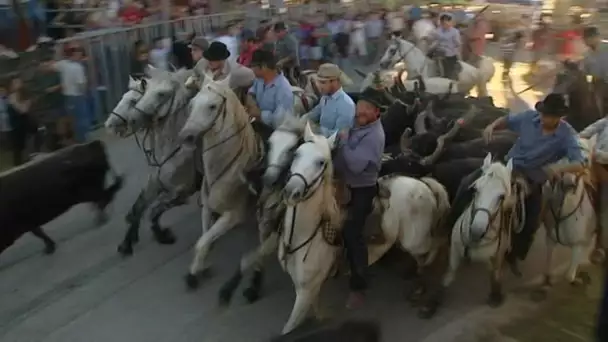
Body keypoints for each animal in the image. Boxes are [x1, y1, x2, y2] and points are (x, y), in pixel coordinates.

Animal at [105, 69, 198, 255]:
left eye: (133, 101)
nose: (108, 125)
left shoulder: (181, 192)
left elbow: (153, 212)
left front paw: (163, 235)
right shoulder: (155, 183)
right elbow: (139, 206)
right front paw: (127, 242)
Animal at [176, 72, 262, 288]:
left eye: (212, 106)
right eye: (192, 103)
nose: (186, 136)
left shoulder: (233, 214)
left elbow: (202, 242)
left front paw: (195, 273)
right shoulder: (207, 209)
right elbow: (205, 238)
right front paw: (199, 267)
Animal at [280, 123, 446, 334]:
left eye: (321, 162)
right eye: (297, 154)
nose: (291, 191)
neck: (306, 233)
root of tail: (423, 183)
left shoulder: (304, 293)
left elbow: (289, 328)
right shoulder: (310, 290)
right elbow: (316, 310)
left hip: (416, 240)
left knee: (436, 245)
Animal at [442, 153, 516, 308]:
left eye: (501, 196)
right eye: (475, 189)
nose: (476, 230)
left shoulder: (496, 260)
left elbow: (495, 277)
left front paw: (495, 297)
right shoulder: (454, 251)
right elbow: (448, 277)